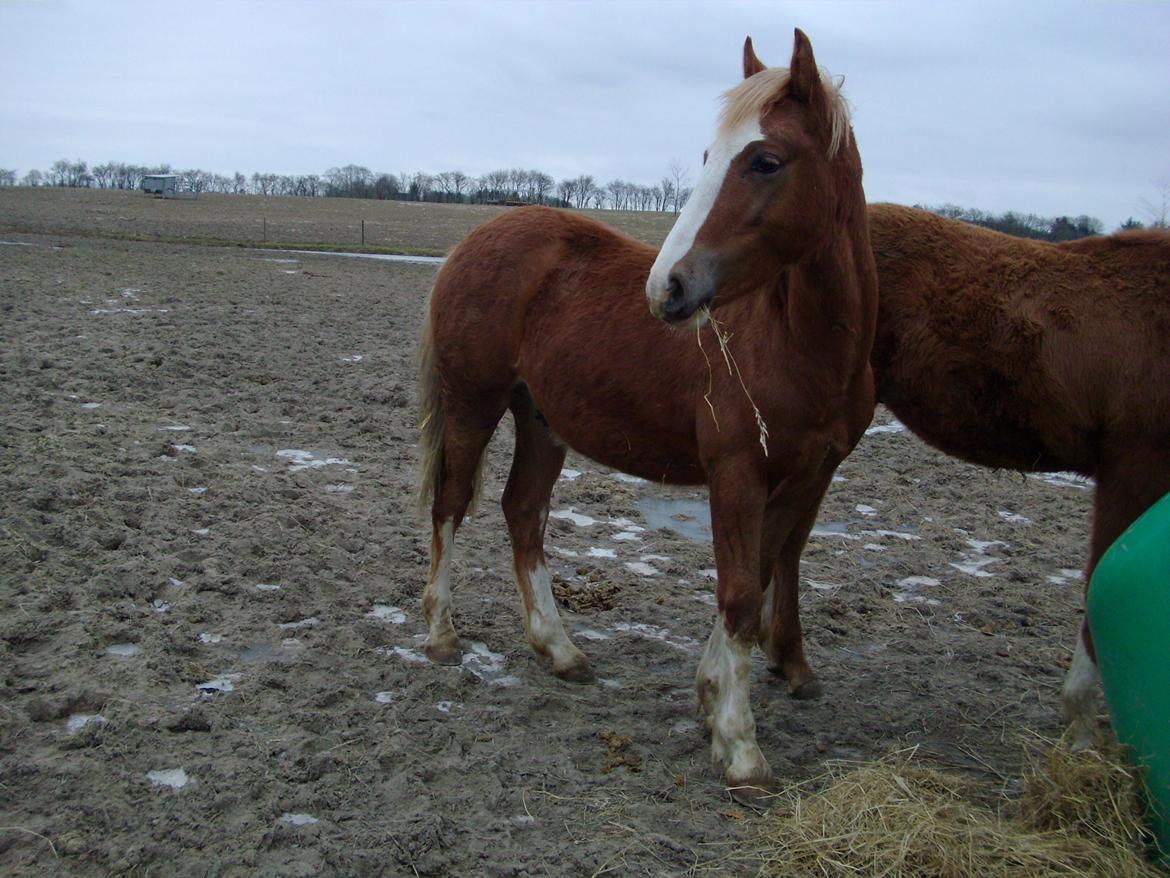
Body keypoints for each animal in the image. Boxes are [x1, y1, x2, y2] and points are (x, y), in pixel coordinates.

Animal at [421, 31, 879, 800]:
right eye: (708, 155)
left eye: (765, 160)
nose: (668, 288)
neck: (797, 343)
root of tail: (479, 236)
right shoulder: (736, 474)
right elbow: (740, 595)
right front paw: (740, 746)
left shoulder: (806, 478)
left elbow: (758, 578)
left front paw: (710, 698)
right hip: (473, 405)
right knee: (451, 504)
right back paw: (440, 634)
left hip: (541, 420)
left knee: (523, 513)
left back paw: (559, 650)